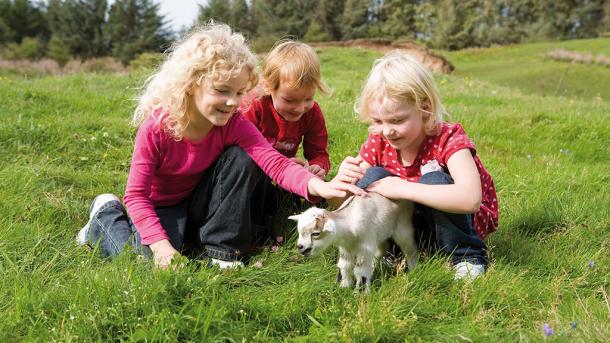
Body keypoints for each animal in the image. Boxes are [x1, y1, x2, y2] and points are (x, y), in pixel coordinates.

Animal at [288, 194, 416, 292]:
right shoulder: (346, 247)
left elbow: (361, 270)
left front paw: (361, 293)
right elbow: (345, 265)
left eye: (316, 233)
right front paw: (344, 287)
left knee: (410, 249)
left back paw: (414, 269)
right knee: (381, 248)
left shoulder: (365, 247)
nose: (300, 247)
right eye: (299, 232)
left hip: (403, 227)